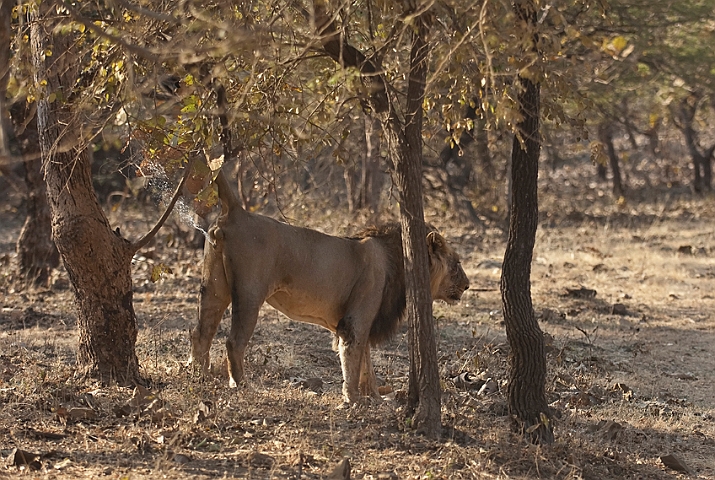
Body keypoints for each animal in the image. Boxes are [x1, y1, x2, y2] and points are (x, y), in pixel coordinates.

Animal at [190, 171, 470, 404]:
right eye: (456, 264)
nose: (468, 285)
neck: (396, 257)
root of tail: (238, 211)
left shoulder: (364, 321)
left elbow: (366, 362)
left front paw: (374, 397)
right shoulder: (354, 321)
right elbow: (353, 359)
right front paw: (353, 399)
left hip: (214, 290)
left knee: (200, 333)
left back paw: (198, 375)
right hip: (249, 294)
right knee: (233, 341)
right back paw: (241, 385)